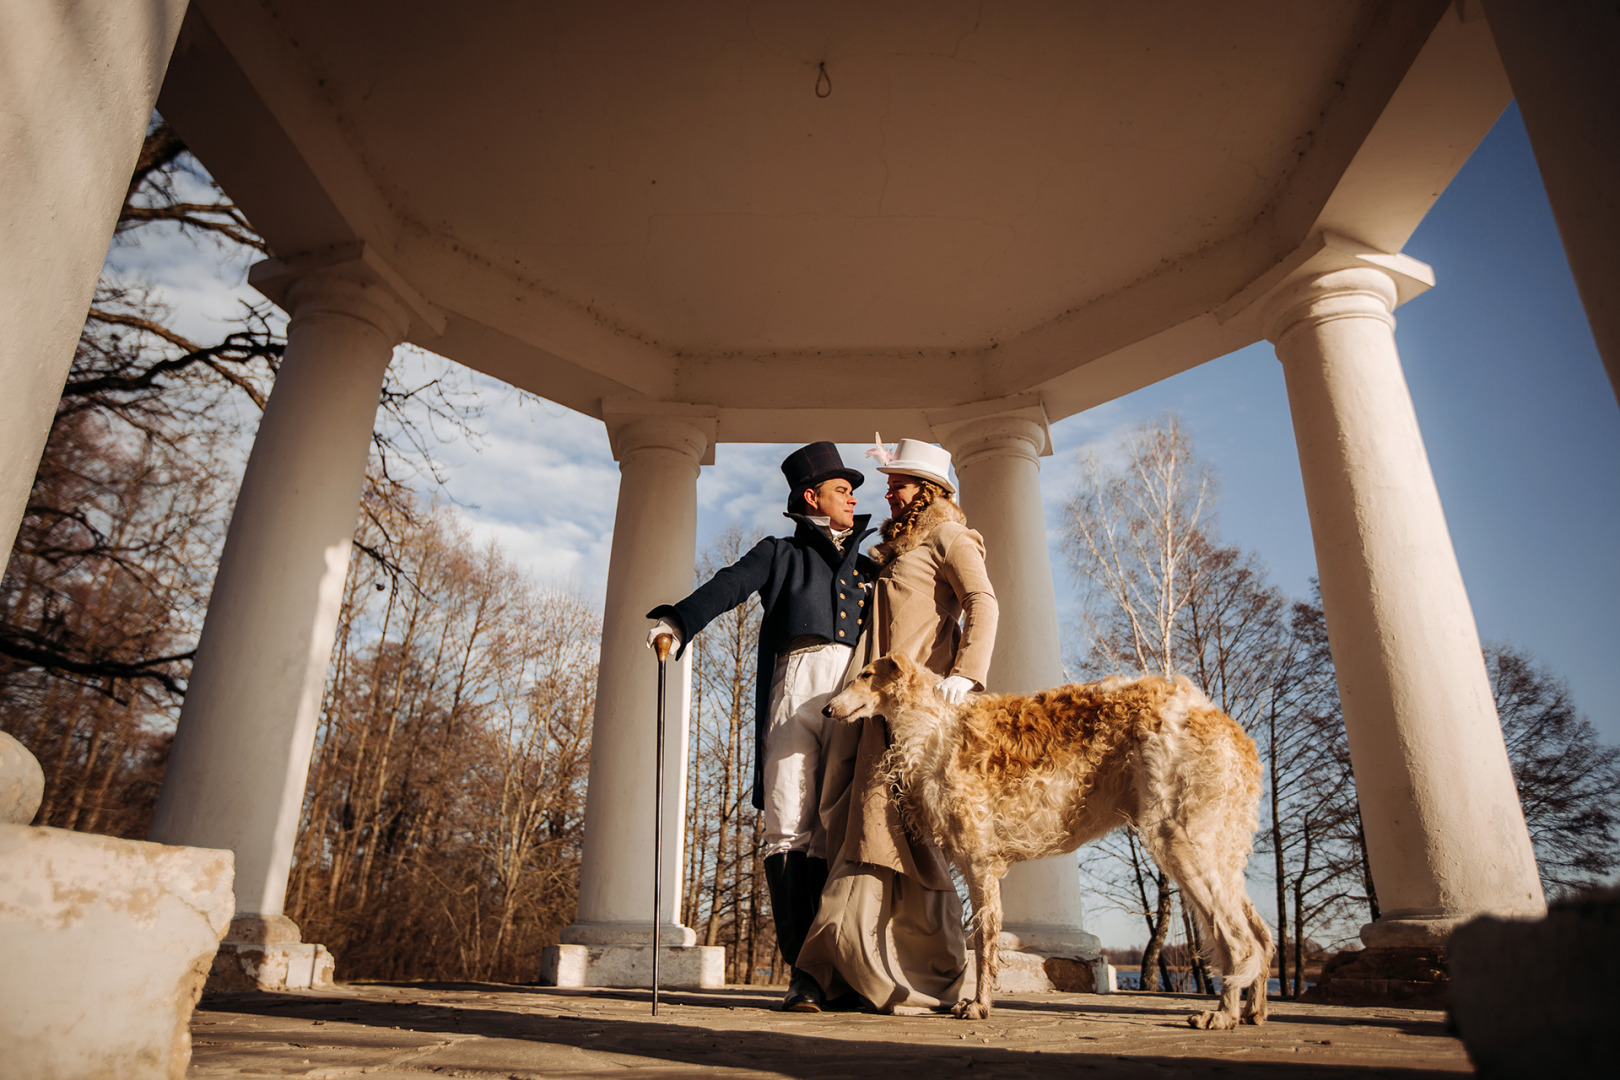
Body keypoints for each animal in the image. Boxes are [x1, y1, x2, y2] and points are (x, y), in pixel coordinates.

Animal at [829, 650, 1270, 1029]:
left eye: (865, 674)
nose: (827, 709)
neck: (936, 724)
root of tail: (1227, 726)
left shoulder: (979, 859)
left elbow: (984, 939)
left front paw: (978, 1005)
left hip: (1180, 840)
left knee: (1239, 941)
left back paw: (1222, 1015)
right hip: (1217, 851)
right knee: (1262, 935)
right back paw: (1254, 1012)